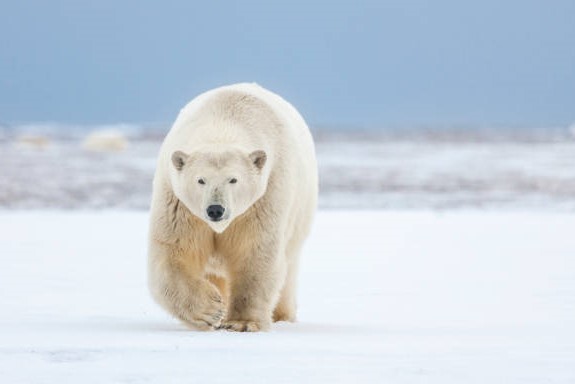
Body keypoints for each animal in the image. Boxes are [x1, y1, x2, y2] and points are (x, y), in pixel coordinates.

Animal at [147, 82, 320, 332]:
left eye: (233, 179)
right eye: (200, 180)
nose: (215, 210)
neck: (224, 119)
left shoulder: (264, 197)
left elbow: (255, 251)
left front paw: (242, 322)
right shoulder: (178, 203)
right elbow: (174, 251)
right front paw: (211, 311)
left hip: (299, 216)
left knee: (288, 268)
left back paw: (282, 315)